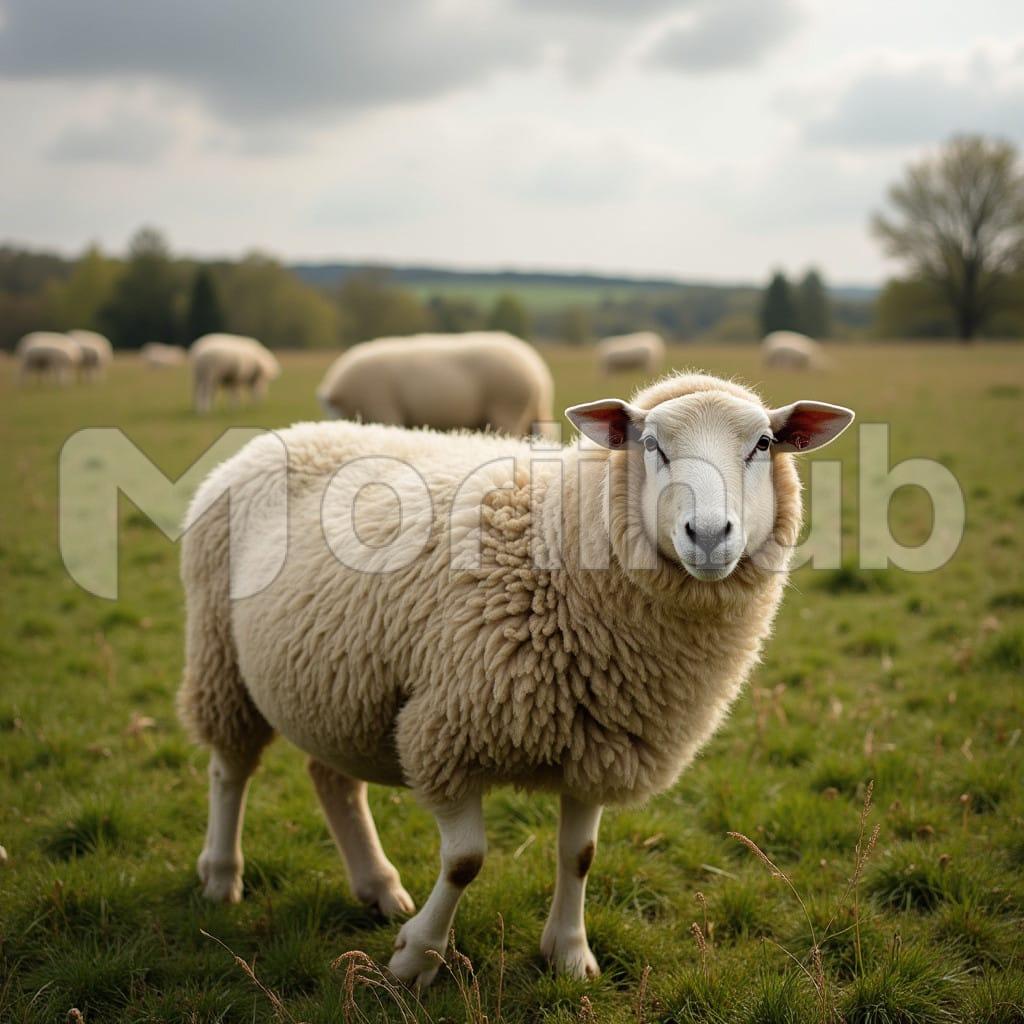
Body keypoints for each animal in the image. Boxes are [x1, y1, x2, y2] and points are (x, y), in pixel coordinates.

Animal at [178, 371, 854, 988]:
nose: (709, 536)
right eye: (651, 444)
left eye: (763, 443)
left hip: (336, 688)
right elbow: (465, 862)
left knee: (332, 780)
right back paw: (222, 876)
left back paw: (378, 886)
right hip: (219, 654)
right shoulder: (445, 731)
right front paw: (417, 958)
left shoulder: (601, 737)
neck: (561, 546)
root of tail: (288, 434)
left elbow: (579, 856)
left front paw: (570, 955)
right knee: (229, 770)